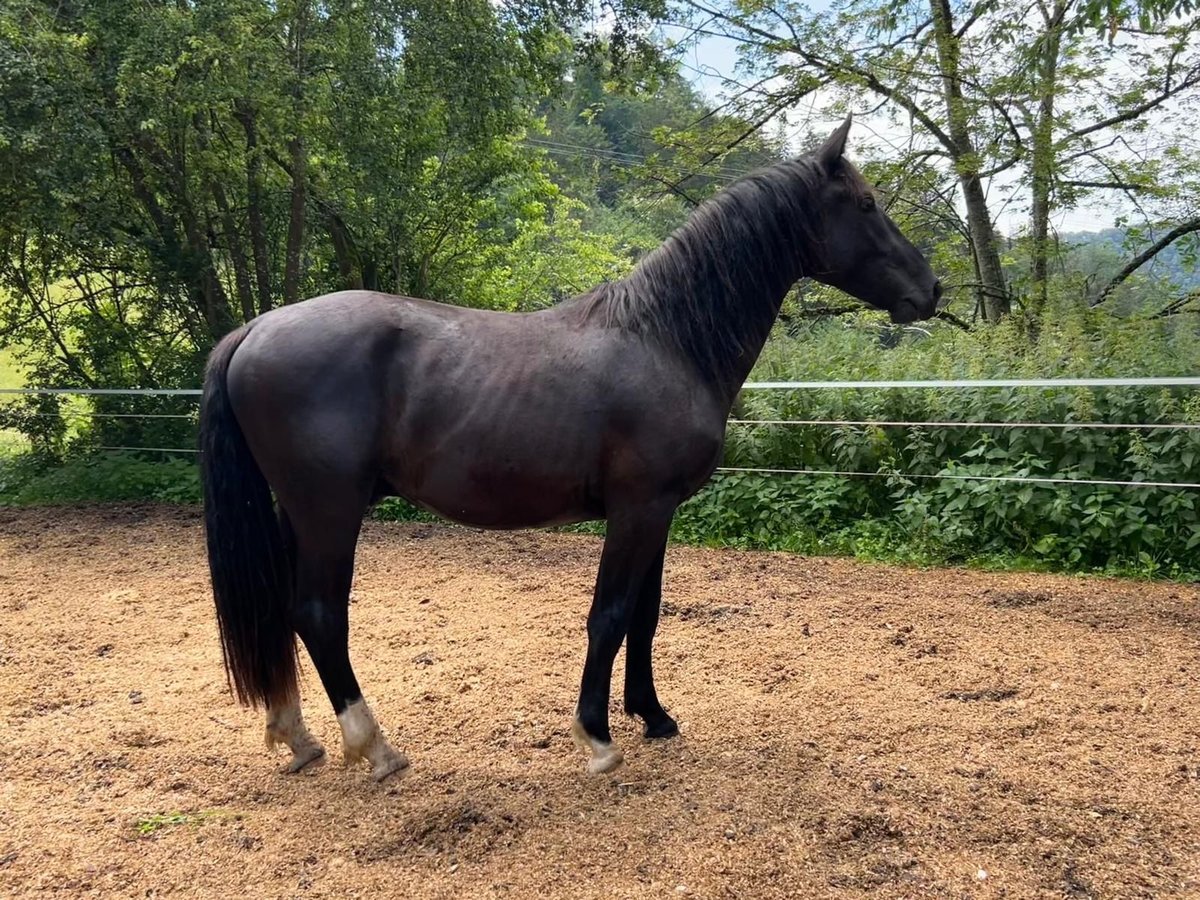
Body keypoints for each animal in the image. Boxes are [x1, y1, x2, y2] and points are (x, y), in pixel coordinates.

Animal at [201, 120, 940, 782]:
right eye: (866, 204)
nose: (930, 289)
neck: (665, 339)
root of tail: (255, 330)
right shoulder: (638, 508)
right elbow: (609, 616)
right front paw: (598, 736)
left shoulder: (660, 512)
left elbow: (645, 614)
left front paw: (653, 716)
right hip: (330, 512)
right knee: (319, 616)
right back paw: (375, 748)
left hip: (298, 513)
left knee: (283, 612)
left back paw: (297, 737)